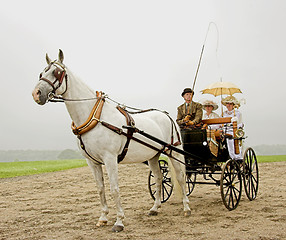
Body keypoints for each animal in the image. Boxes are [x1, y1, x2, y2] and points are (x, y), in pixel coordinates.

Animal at [31, 49, 190, 232]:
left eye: (57, 72)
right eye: (42, 73)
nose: (36, 94)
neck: (95, 118)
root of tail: (166, 115)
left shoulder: (110, 158)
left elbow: (114, 189)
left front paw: (119, 221)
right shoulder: (92, 162)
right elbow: (100, 189)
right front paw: (103, 218)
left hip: (173, 152)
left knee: (180, 177)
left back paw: (186, 207)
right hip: (153, 156)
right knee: (158, 178)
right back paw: (155, 208)